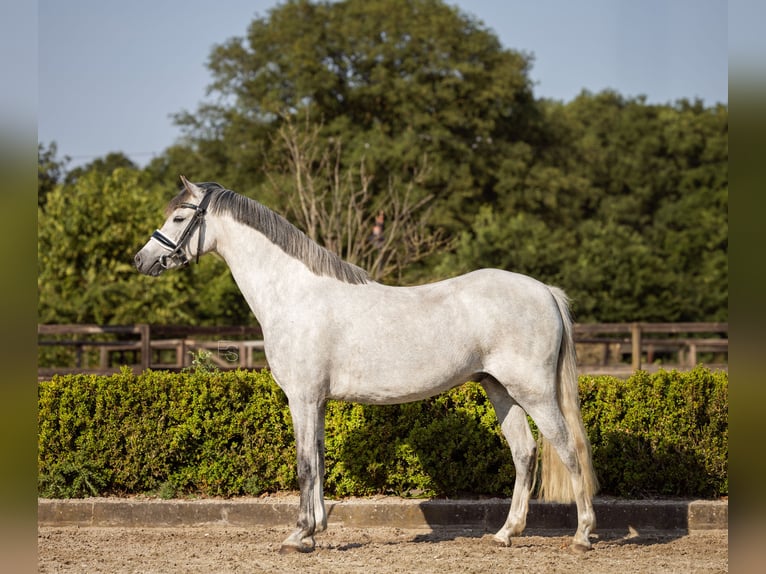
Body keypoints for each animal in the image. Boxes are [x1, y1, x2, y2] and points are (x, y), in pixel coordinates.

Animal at [134, 176, 598, 554]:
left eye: (179, 217)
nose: (142, 260)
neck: (294, 294)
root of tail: (545, 291)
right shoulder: (317, 402)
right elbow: (319, 459)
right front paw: (316, 530)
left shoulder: (302, 398)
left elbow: (304, 463)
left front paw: (298, 535)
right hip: (499, 389)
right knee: (524, 453)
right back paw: (505, 534)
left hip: (534, 392)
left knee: (568, 448)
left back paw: (581, 536)